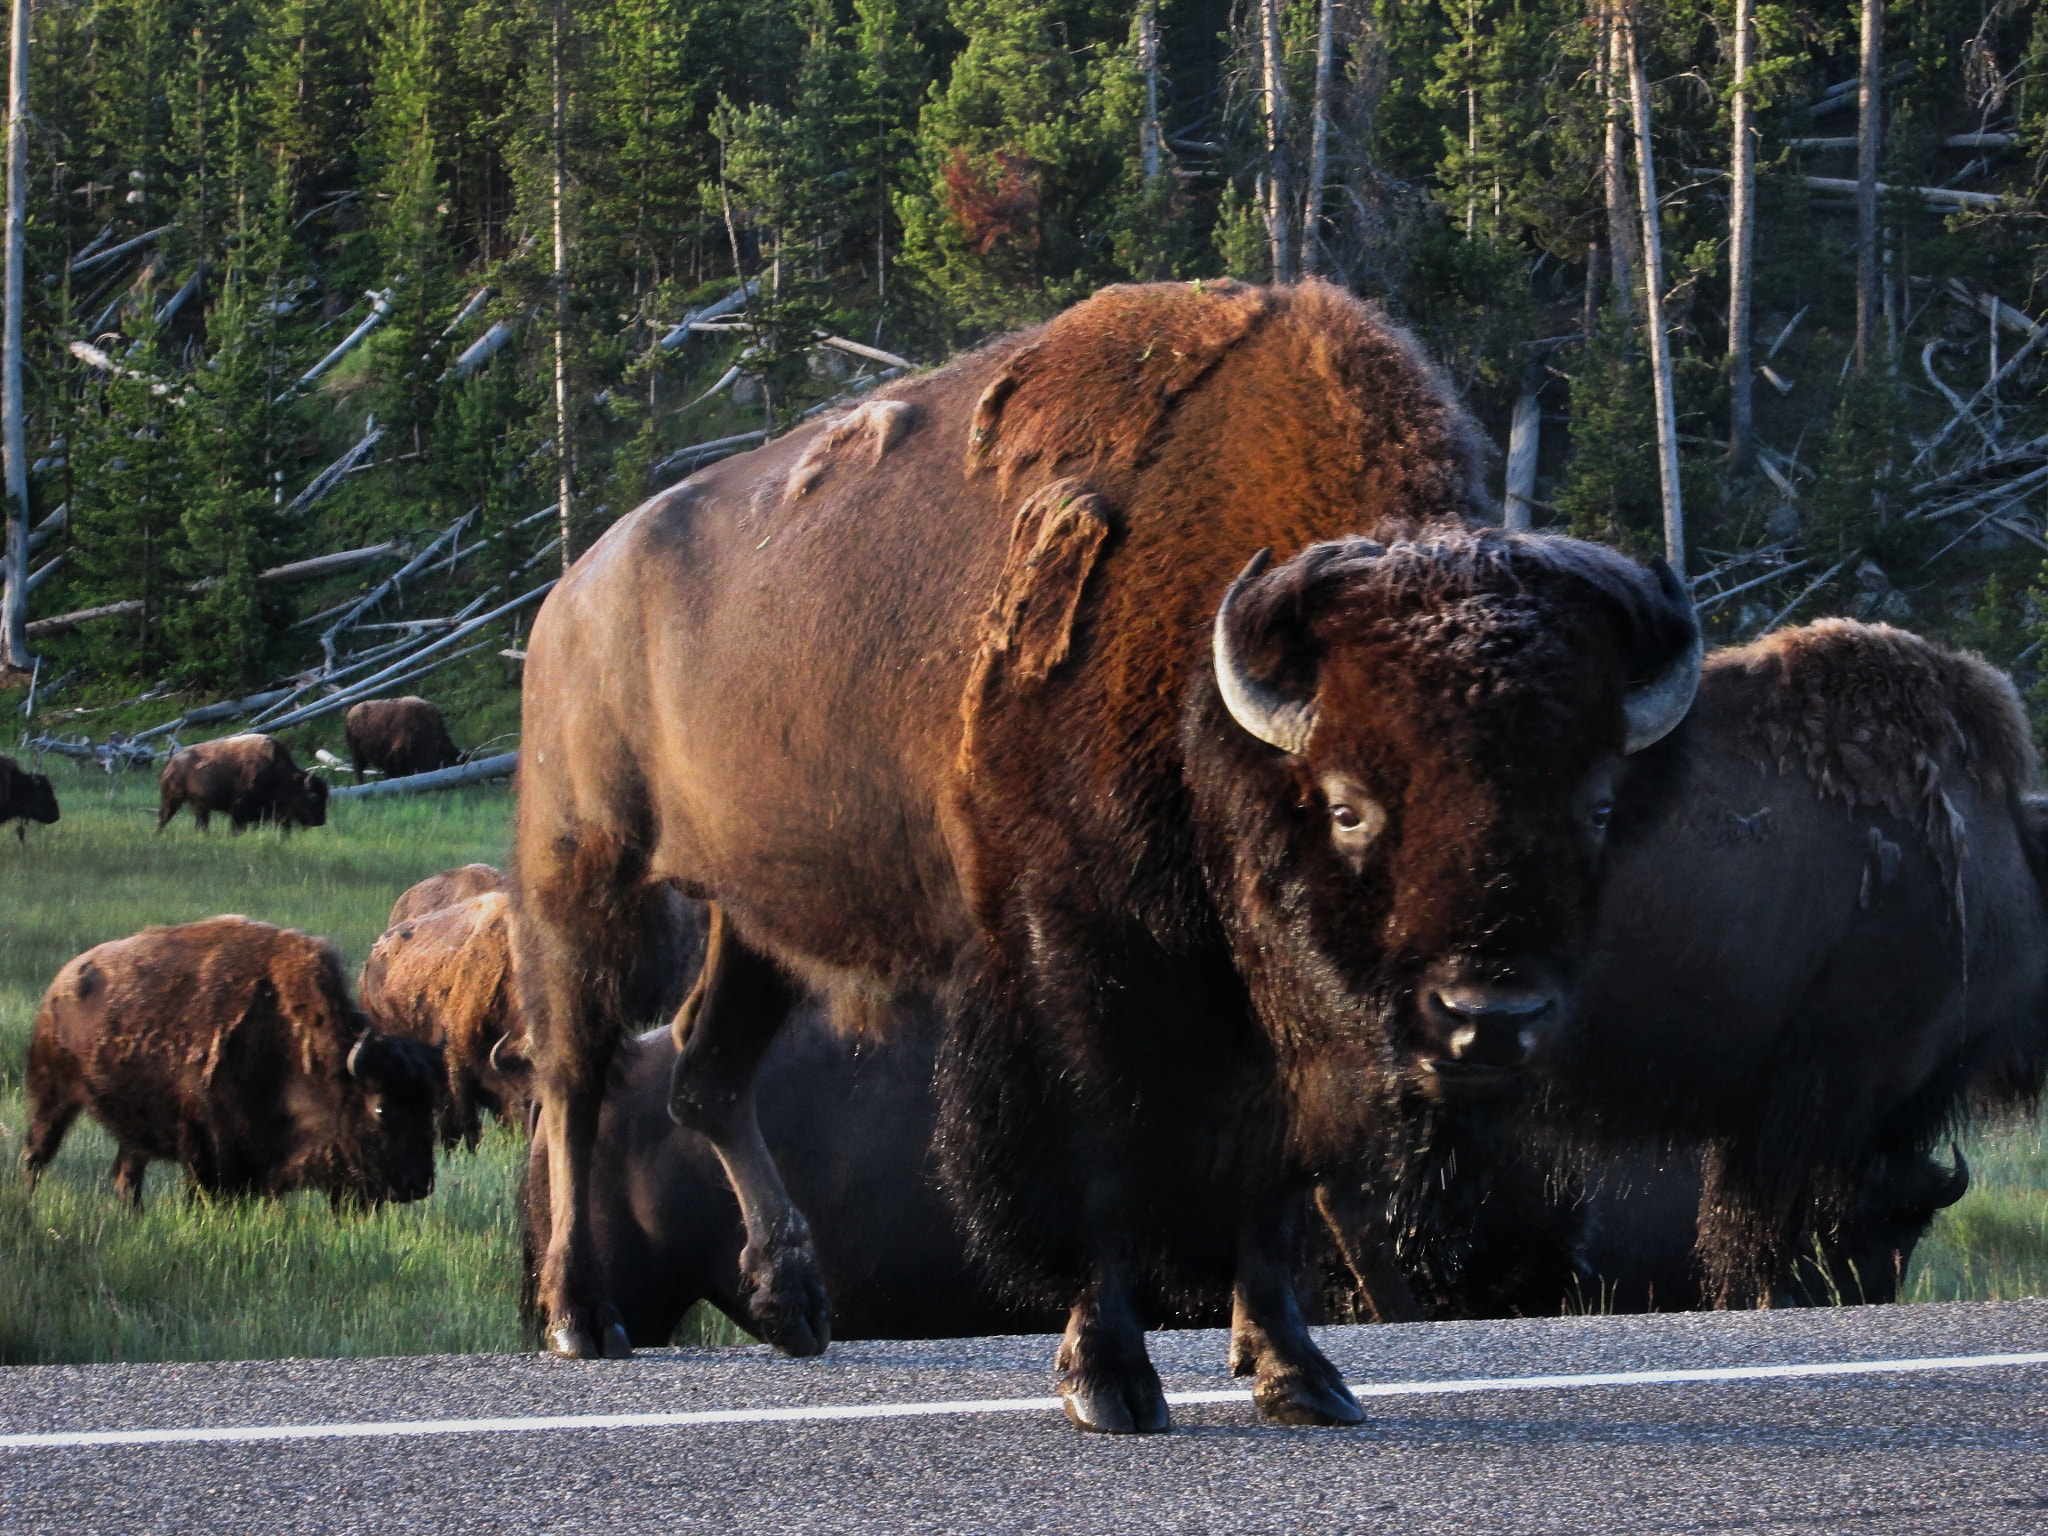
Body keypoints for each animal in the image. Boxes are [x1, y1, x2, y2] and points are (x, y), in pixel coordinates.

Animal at [23, 916, 443, 1208]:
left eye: (430, 1108)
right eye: (381, 1108)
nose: (418, 1185)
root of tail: (61, 984)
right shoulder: (205, 1148)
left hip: (132, 1129)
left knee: (126, 1177)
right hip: (53, 1097)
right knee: (36, 1155)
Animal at [157, 733, 328, 832]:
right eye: (313, 796)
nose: (321, 821)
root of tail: (171, 761)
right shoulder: (240, 808)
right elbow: (237, 827)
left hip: (199, 806)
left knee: (201, 823)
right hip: (172, 799)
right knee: (164, 818)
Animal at [513, 277, 1701, 1432]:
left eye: (1596, 803)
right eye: (1348, 807)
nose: (1486, 1017)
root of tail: (572, 591)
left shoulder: (1261, 1018)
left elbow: (1269, 1186)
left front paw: (1296, 1374)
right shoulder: (1076, 956)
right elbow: (1100, 1158)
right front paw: (1110, 1381)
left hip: (755, 919)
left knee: (708, 1075)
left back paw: (794, 1304)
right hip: (585, 879)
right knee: (572, 1078)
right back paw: (582, 1316)